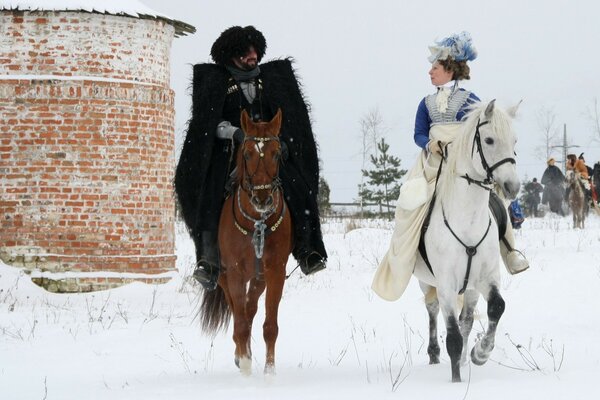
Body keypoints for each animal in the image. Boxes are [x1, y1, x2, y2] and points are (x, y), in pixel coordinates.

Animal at [199, 107, 292, 376]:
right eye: (248, 153)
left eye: (276, 153)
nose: (262, 199)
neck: (256, 223)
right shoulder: (235, 273)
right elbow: (239, 324)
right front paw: (246, 368)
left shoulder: (274, 272)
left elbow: (269, 326)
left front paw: (269, 374)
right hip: (223, 277)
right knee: (237, 313)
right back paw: (241, 355)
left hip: (258, 278)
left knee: (250, 310)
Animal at [414, 100, 524, 382]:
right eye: (489, 139)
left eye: (514, 140)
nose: (512, 186)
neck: (467, 221)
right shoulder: (446, 284)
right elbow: (451, 335)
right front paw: (455, 380)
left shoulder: (486, 278)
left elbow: (496, 307)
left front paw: (480, 354)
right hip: (425, 282)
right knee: (432, 311)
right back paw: (434, 354)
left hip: (471, 288)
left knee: (467, 320)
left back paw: (464, 359)